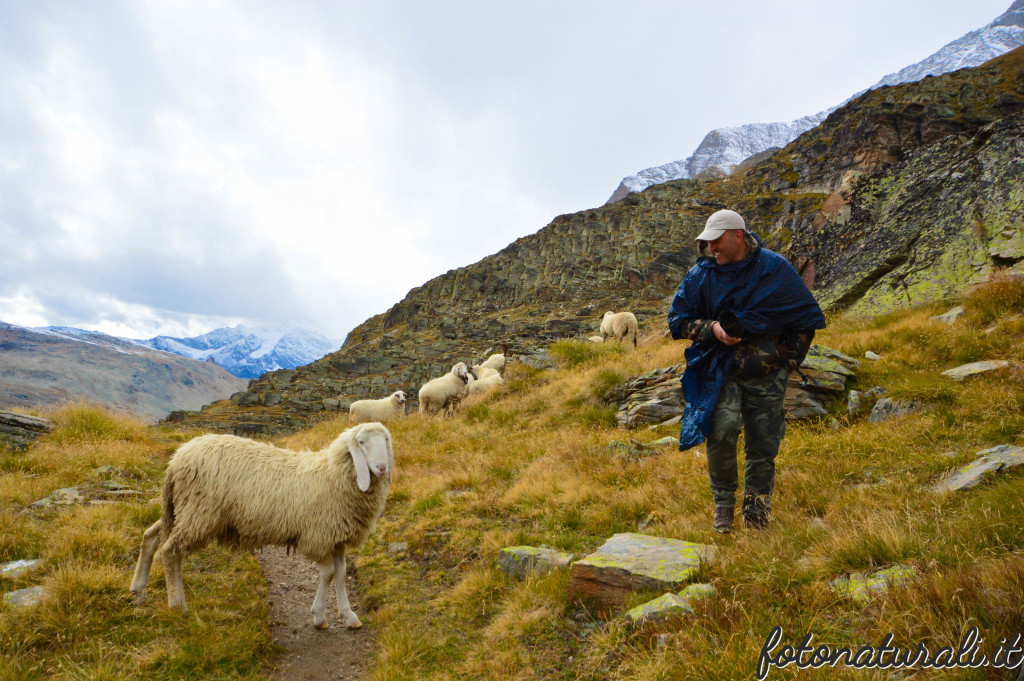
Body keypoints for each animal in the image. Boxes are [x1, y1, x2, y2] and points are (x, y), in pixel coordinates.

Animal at [128, 421, 391, 630]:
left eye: (386, 439)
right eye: (361, 442)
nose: (382, 467)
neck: (333, 474)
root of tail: (176, 460)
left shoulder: (336, 538)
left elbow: (341, 574)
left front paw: (349, 615)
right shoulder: (318, 536)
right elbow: (327, 574)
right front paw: (319, 617)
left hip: (181, 511)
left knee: (151, 537)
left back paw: (138, 592)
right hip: (198, 513)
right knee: (170, 552)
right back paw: (177, 605)